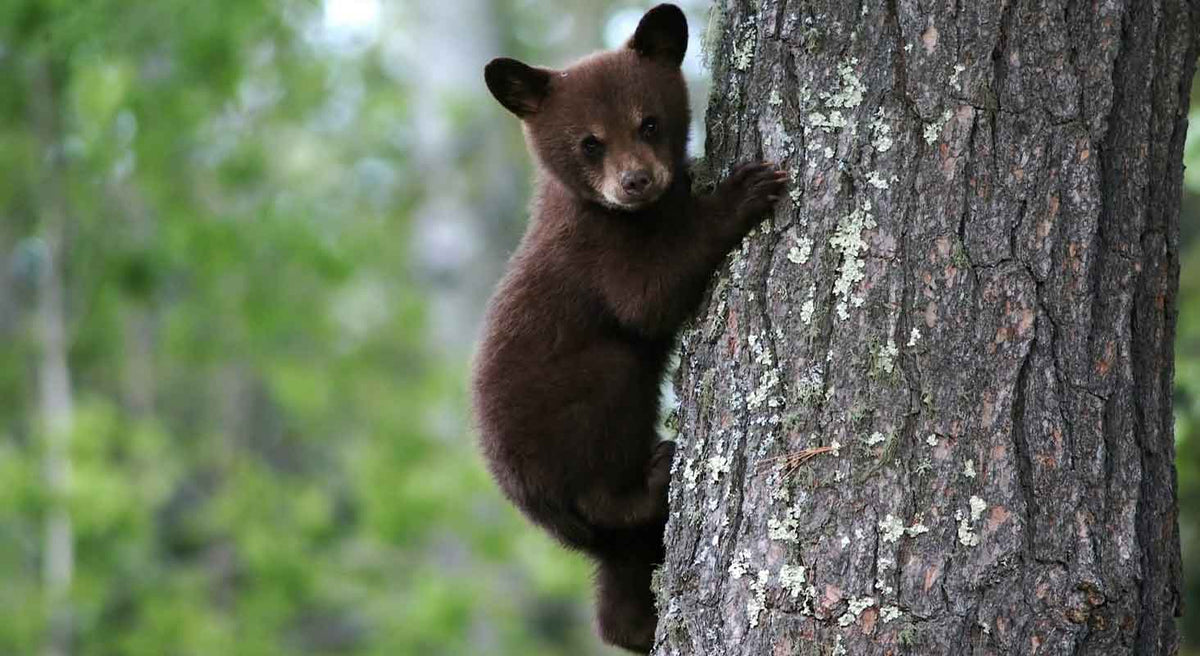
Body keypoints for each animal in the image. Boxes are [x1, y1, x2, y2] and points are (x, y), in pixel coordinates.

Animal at [471, 4, 786, 653]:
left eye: (649, 123)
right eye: (590, 142)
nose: (636, 181)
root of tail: (535, 507)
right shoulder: (597, 252)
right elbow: (648, 298)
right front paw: (742, 190)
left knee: (620, 577)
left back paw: (636, 624)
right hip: (577, 416)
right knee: (607, 467)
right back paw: (655, 473)